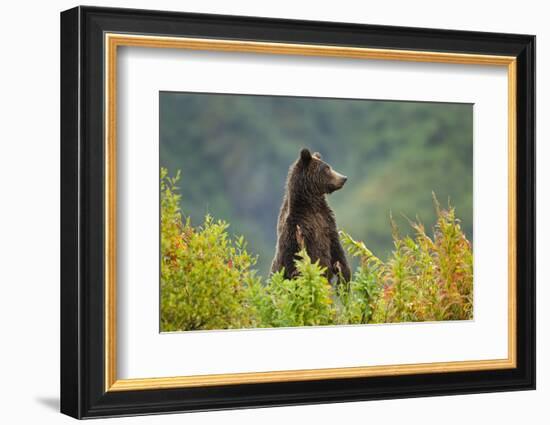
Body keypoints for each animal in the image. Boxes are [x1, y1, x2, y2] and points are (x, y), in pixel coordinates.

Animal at [272, 147, 354, 284]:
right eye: (326, 168)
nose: (344, 178)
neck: (310, 205)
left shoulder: (327, 221)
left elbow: (337, 249)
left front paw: (344, 276)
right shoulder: (297, 228)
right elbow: (294, 257)